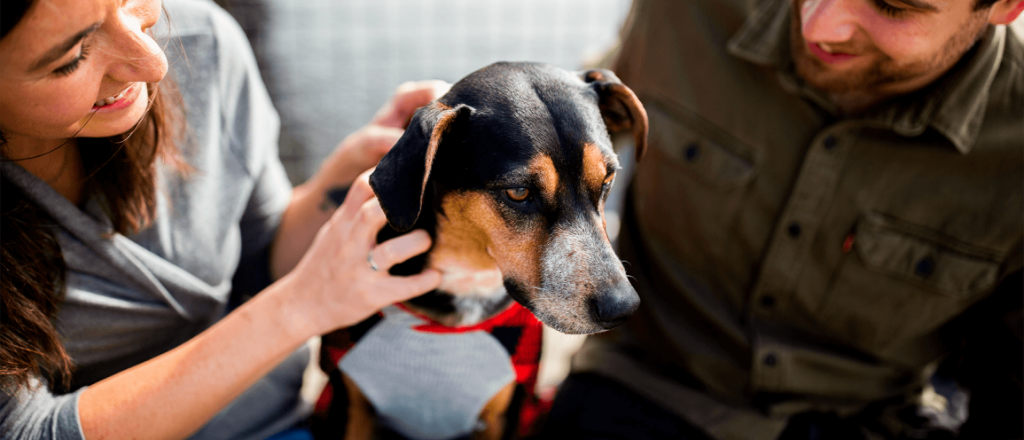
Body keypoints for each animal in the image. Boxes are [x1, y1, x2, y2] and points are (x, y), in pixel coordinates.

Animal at [313, 61, 647, 440]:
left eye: (607, 180)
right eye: (518, 192)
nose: (622, 307)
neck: (469, 278)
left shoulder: (507, 412)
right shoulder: (349, 406)